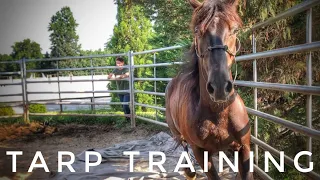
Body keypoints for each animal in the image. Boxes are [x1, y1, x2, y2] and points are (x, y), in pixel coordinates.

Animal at [165, 0, 252, 179]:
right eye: (197, 31)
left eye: (234, 30)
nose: (219, 87)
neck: (218, 113)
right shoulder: (201, 153)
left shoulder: (244, 148)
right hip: (179, 134)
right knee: (184, 148)